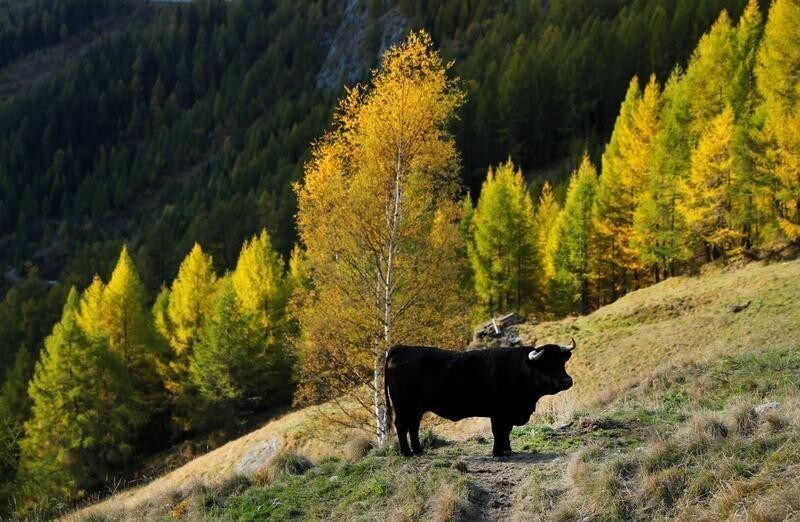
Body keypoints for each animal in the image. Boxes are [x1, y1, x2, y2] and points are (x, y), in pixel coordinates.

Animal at [384, 339, 575, 457]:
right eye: (547, 364)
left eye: (562, 362)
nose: (567, 381)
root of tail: (402, 348)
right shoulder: (498, 413)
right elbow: (499, 431)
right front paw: (498, 452)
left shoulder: (508, 414)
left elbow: (507, 431)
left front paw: (508, 450)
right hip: (403, 405)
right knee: (401, 425)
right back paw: (407, 453)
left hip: (416, 408)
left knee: (413, 426)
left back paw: (418, 450)